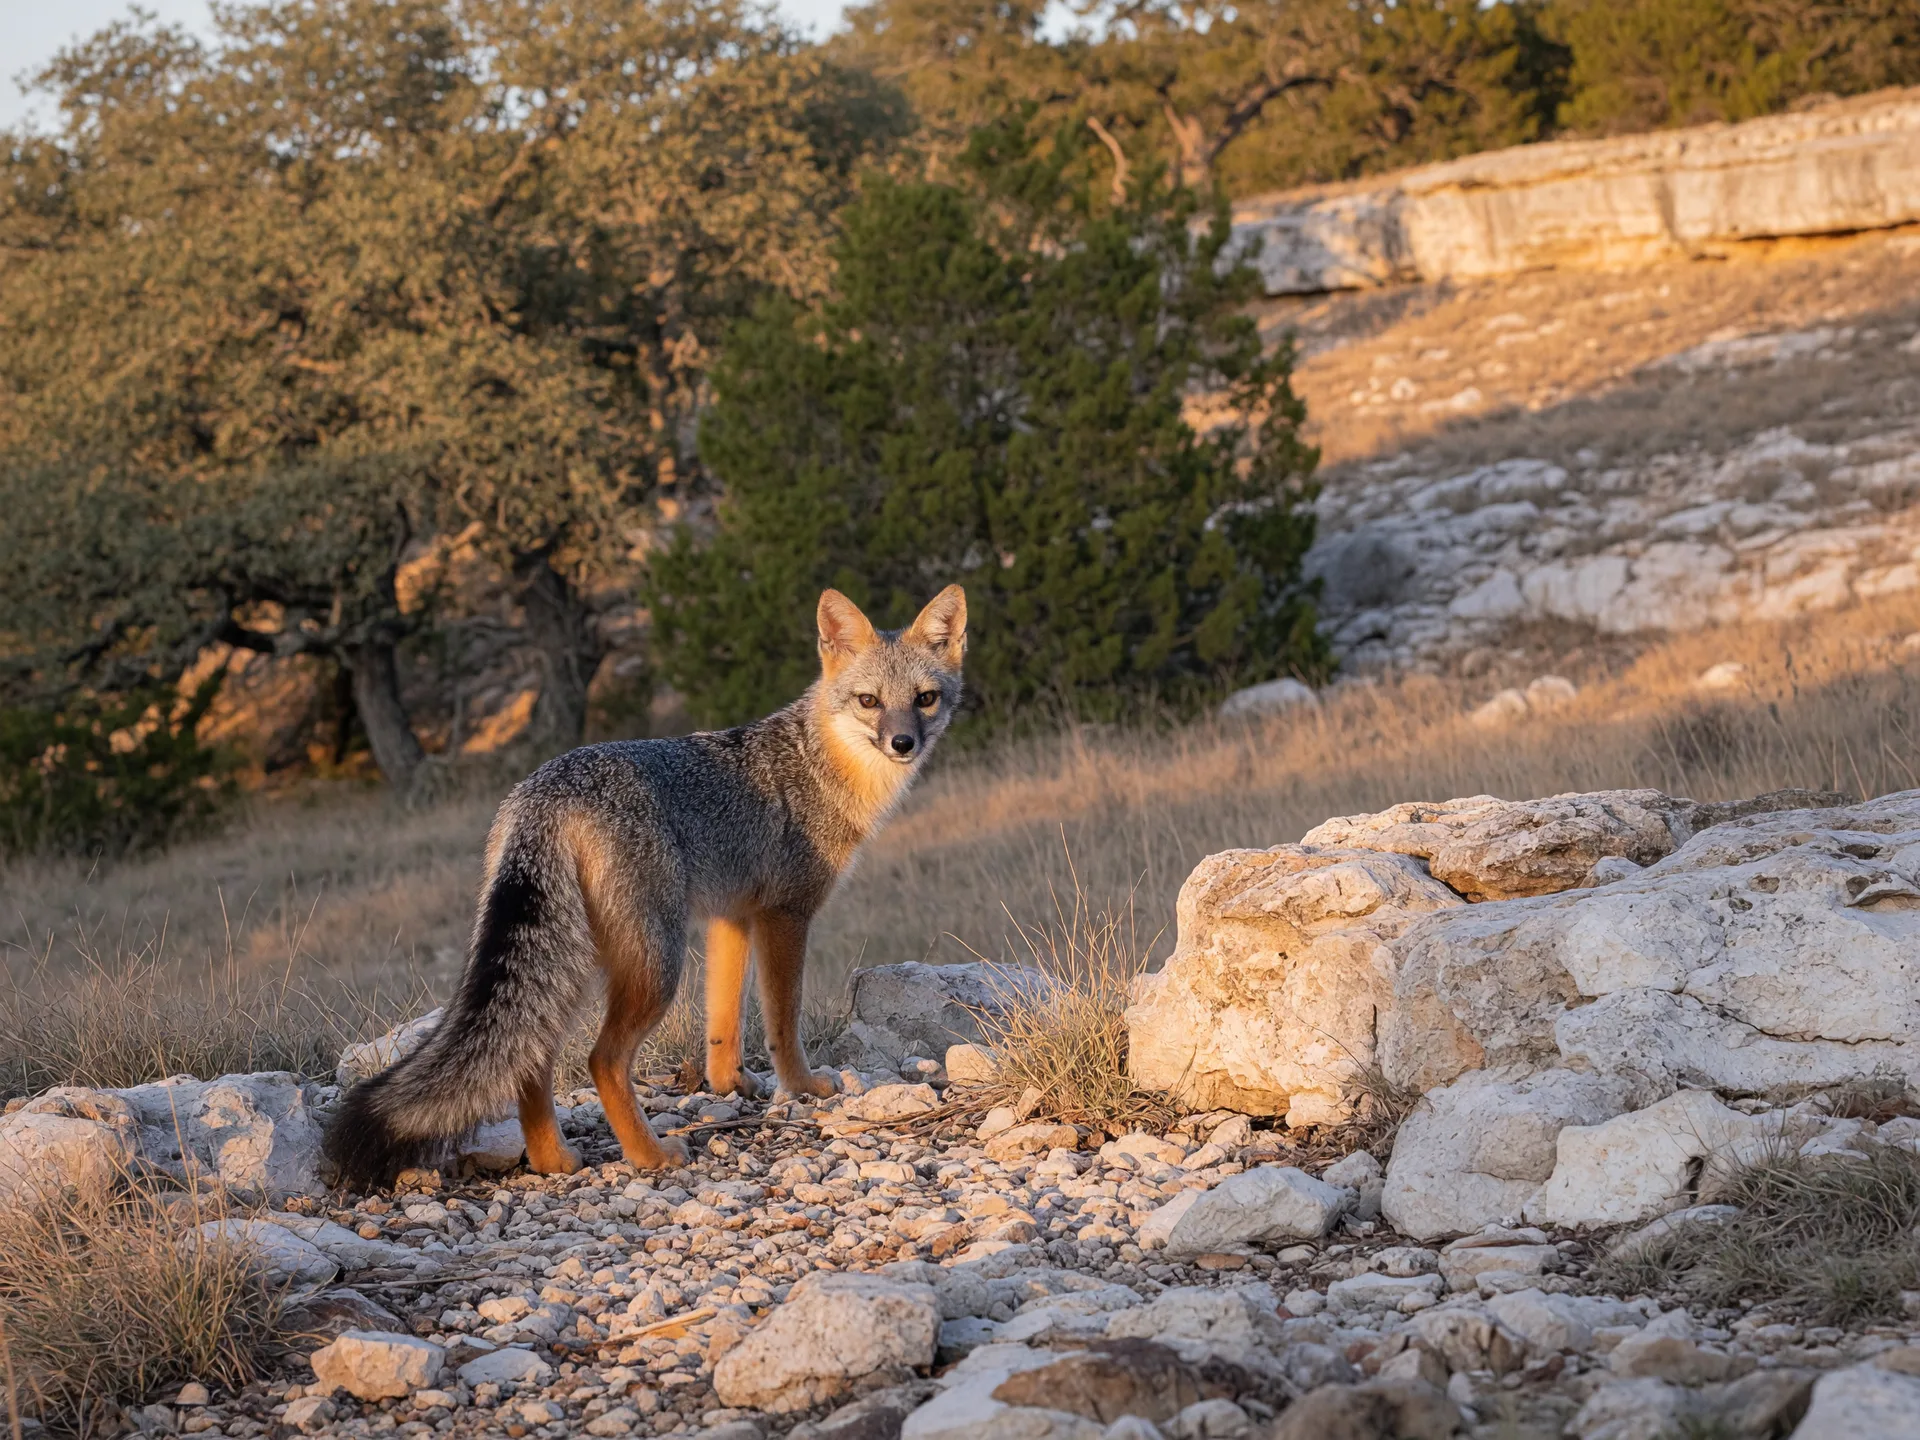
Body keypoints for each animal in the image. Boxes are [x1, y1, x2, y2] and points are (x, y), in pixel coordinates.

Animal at [323, 584, 967, 1190]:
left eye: (924, 699)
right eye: (869, 702)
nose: (903, 744)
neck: (818, 763)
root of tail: (545, 793)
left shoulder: (733, 916)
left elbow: (723, 1020)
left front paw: (731, 1083)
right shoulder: (786, 915)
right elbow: (783, 1020)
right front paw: (803, 1086)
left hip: (573, 961)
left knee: (531, 1055)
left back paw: (554, 1159)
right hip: (655, 962)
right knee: (601, 1060)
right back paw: (648, 1155)